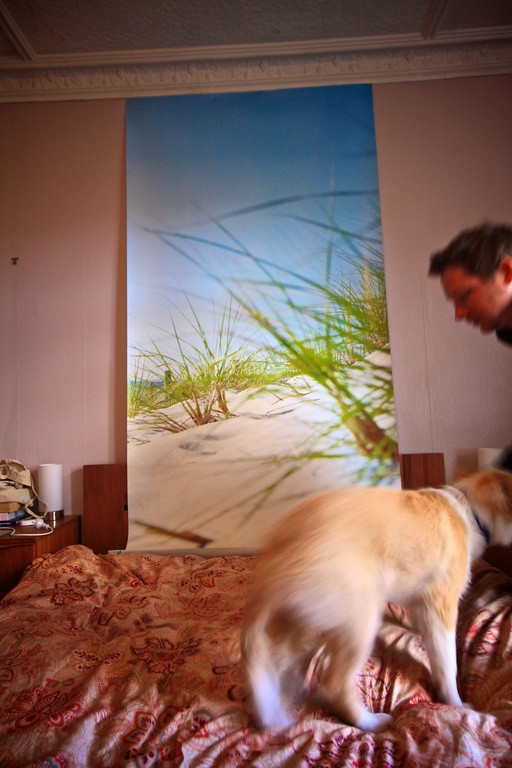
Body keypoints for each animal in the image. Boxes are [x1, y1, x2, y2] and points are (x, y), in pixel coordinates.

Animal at [241, 468, 512, 732]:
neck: (471, 510)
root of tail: (279, 550)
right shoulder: (441, 604)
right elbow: (446, 664)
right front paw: (457, 706)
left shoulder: (420, 600)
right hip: (362, 614)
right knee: (334, 684)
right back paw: (369, 722)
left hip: (300, 618)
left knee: (280, 662)